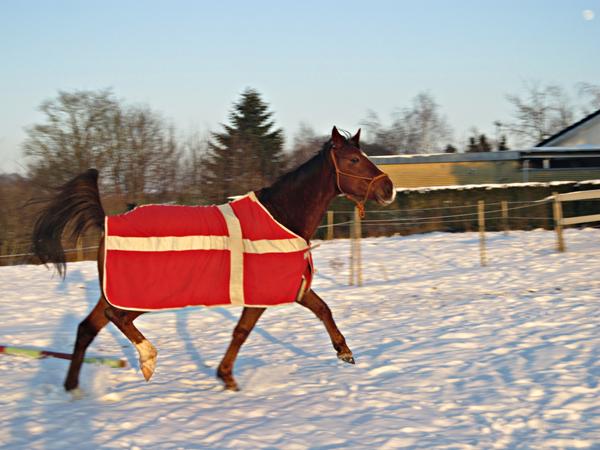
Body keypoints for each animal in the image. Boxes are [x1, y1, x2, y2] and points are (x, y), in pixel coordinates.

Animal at [34, 125, 398, 392]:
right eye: (353, 160)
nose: (389, 189)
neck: (281, 217)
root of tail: (107, 221)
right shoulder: (261, 295)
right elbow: (242, 331)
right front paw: (227, 376)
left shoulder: (294, 287)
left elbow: (323, 309)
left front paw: (344, 352)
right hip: (142, 295)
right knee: (116, 317)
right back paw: (147, 359)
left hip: (115, 291)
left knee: (87, 327)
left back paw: (72, 389)